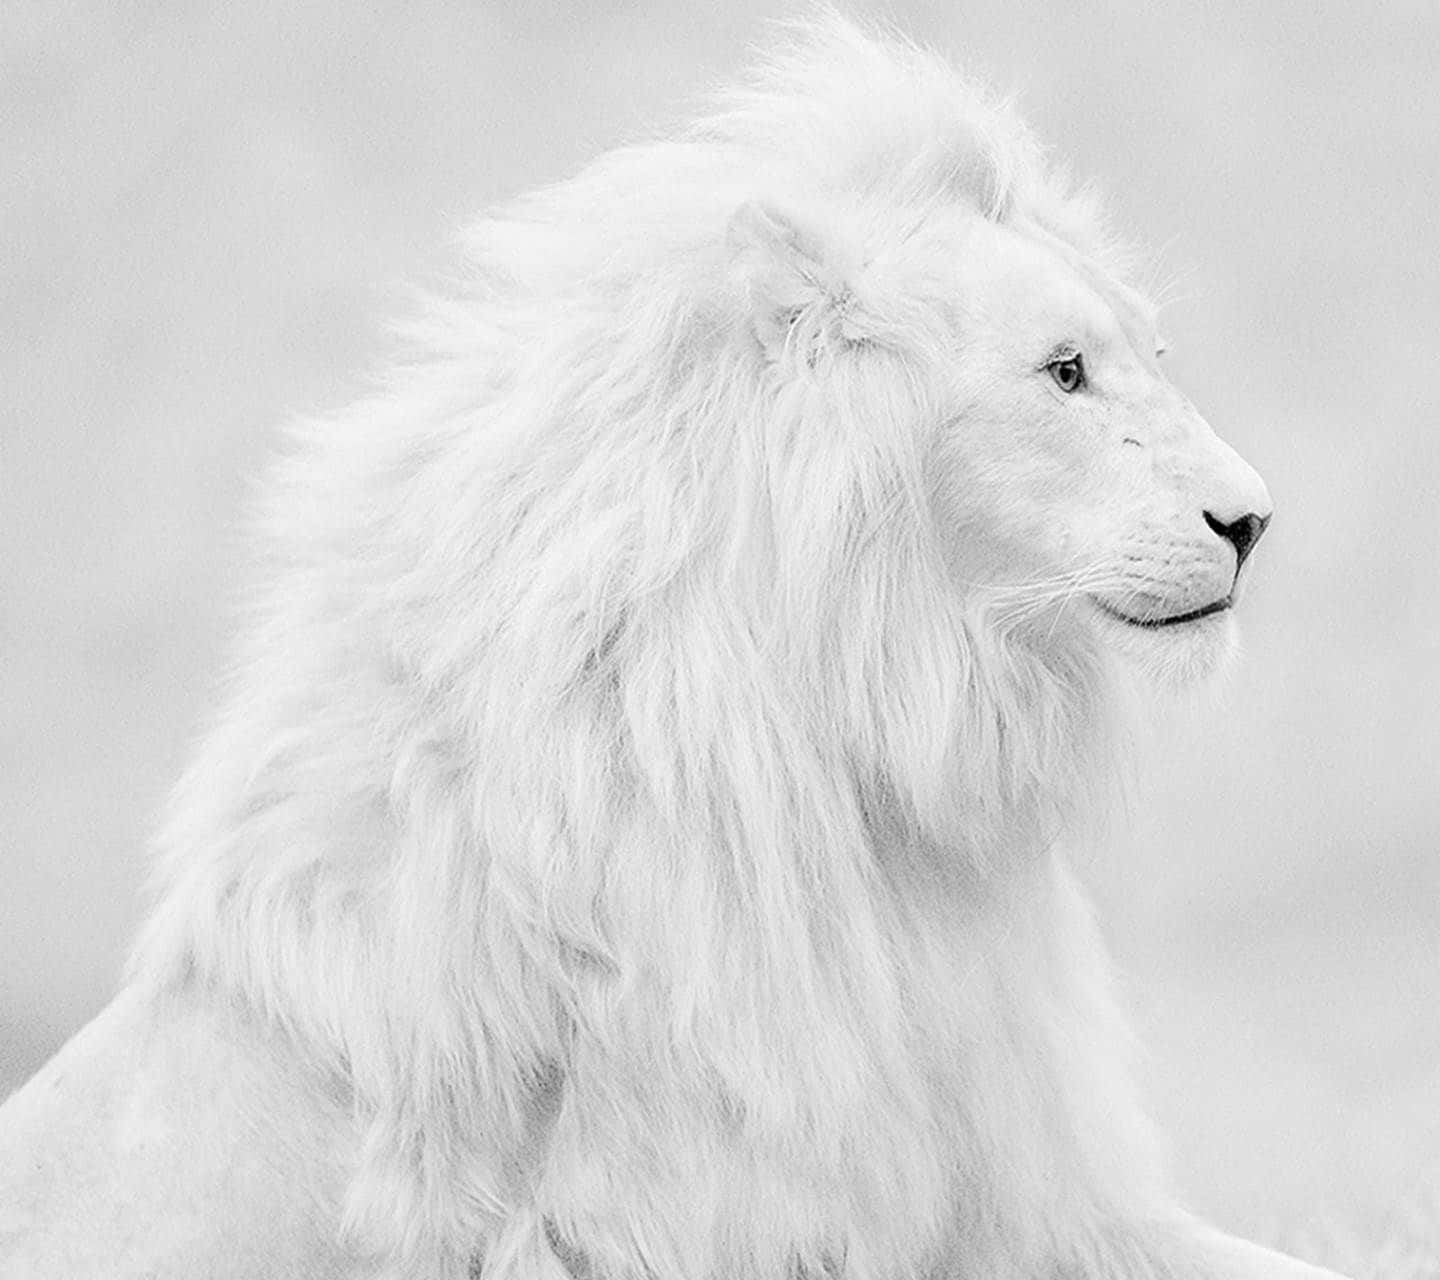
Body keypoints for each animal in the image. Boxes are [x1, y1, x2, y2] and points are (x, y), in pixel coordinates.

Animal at [0, 17, 1347, 1278]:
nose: (1254, 520)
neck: (879, 783)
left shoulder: (1020, 1188)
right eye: (1063, 371)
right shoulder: (687, 1215)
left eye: (1149, 356)